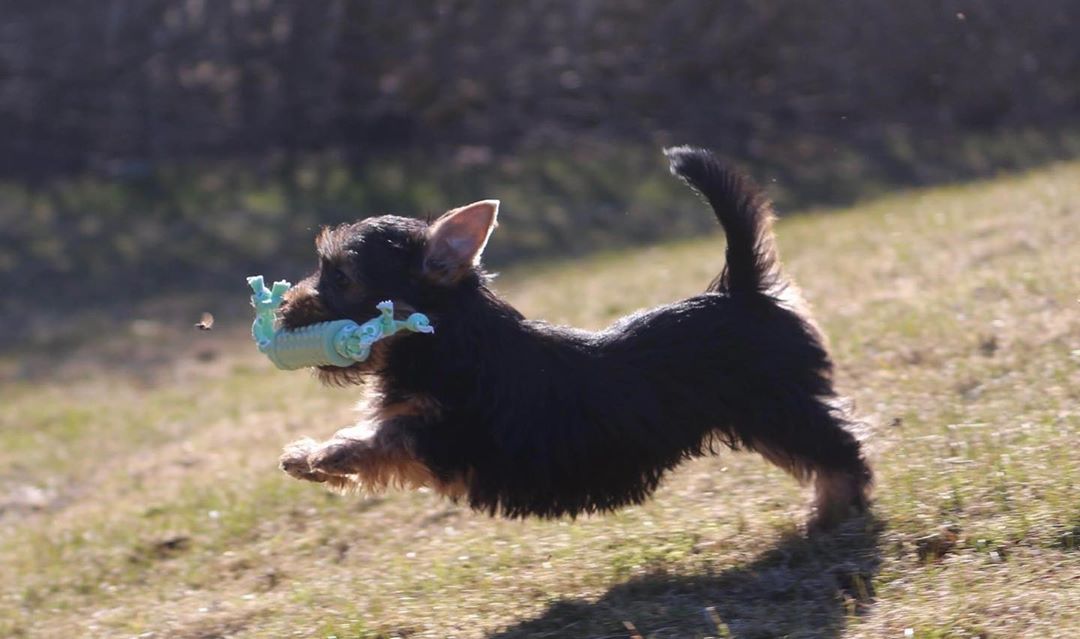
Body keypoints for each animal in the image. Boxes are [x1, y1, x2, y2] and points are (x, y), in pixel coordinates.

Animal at [276, 148, 868, 528]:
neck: (443, 339)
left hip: (777, 406)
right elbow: (373, 441)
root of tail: (741, 289)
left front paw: (318, 454)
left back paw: (832, 512)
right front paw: (309, 457)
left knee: (838, 448)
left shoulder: (446, 432)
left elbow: (376, 440)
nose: (282, 310)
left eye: (342, 279)